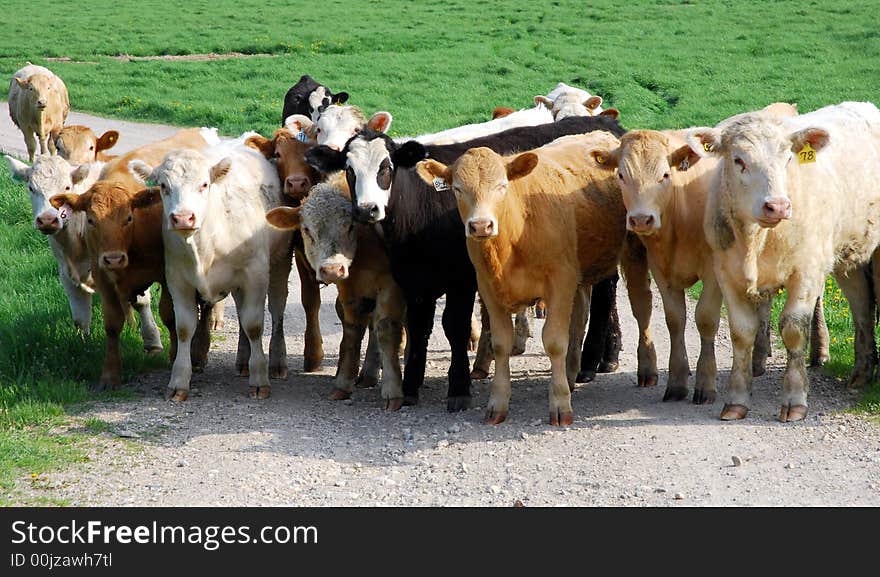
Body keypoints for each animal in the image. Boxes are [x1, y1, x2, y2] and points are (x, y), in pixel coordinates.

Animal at [129, 140, 290, 400]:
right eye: (163, 185)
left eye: (204, 184)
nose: (183, 218)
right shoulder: (177, 279)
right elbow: (184, 328)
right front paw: (179, 381)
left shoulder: (255, 274)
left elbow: (254, 325)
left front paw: (259, 378)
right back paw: (243, 360)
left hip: (281, 261)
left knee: (276, 310)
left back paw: (276, 362)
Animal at [306, 113, 628, 410]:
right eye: (349, 171)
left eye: (386, 167)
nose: (367, 209)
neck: (423, 209)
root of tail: (604, 123)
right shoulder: (413, 278)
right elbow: (419, 326)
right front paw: (410, 386)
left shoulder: (461, 278)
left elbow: (454, 326)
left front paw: (458, 388)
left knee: (606, 293)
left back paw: (597, 360)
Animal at [416, 133, 656, 426]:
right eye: (458, 189)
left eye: (502, 186)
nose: (481, 225)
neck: (516, 230)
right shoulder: (488, 288)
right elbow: (500, 344)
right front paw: (497, 404)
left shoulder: (560, 281)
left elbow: (554, 342)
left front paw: (560, 405)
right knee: (579, 316)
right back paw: (571, 372)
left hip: (633, 251)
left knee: (641, 307)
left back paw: (647, 370)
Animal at [688, 101, 880, 420]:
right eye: (738, 160)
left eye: (788, 158)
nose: (777, 205)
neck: (757, 239)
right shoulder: (727, 274)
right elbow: (742, 332)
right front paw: (737, 400)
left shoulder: (807, 272)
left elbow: (793, 330)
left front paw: (795, 398)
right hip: (847, 255)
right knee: (862, 305)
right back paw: (861, 374)